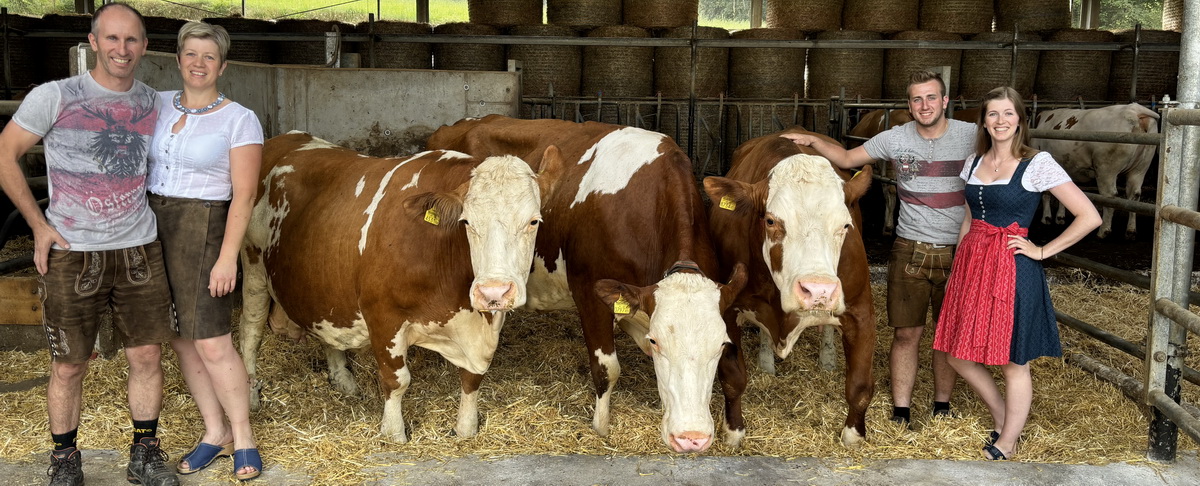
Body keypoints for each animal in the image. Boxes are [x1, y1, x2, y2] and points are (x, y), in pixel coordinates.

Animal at [242, 131, 561, 439]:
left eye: (534, 221)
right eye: (466, 222)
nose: (493, 291)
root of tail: (287, 138)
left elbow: (472, 379)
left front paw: (466, 429)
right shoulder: (382, 315)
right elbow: (397, 380)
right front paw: (394, 433)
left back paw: (343, 380)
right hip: (253, 265)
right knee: (251, 331)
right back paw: (251, 395)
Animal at [700, 126, 873, 444]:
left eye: (845, 225)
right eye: (771, 221)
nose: (818, 290)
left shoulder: (861, 311)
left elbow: (859, 386)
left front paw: (853, 437)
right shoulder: (727, 310)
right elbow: (732, 379)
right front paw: (733, 431)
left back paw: (827, 357)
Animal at [1032, 102, 1161, 238]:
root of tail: (1134, 109)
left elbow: (1045, 194)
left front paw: (1046, 218)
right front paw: (1060, 217)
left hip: (1106, 169)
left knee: (1110, 196)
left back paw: (1103, 230)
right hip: (1140, 168)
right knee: (1134, 195)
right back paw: (1130, 230)